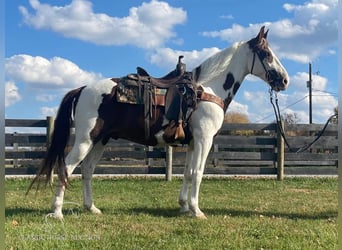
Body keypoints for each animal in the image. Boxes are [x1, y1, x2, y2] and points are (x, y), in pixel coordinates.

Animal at [29, 25, 288, 219]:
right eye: (266, 54)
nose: (285, 80)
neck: (208, 90)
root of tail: (82, 89)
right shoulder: (204, 140)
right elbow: (198, 172)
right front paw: (197, 210)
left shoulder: (192, 143)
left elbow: (188, 173)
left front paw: (184, 206)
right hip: (85, 139)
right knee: (66, 167)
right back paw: (57, 212)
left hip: (100, 141)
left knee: (87, 170)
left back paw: (91, 207)